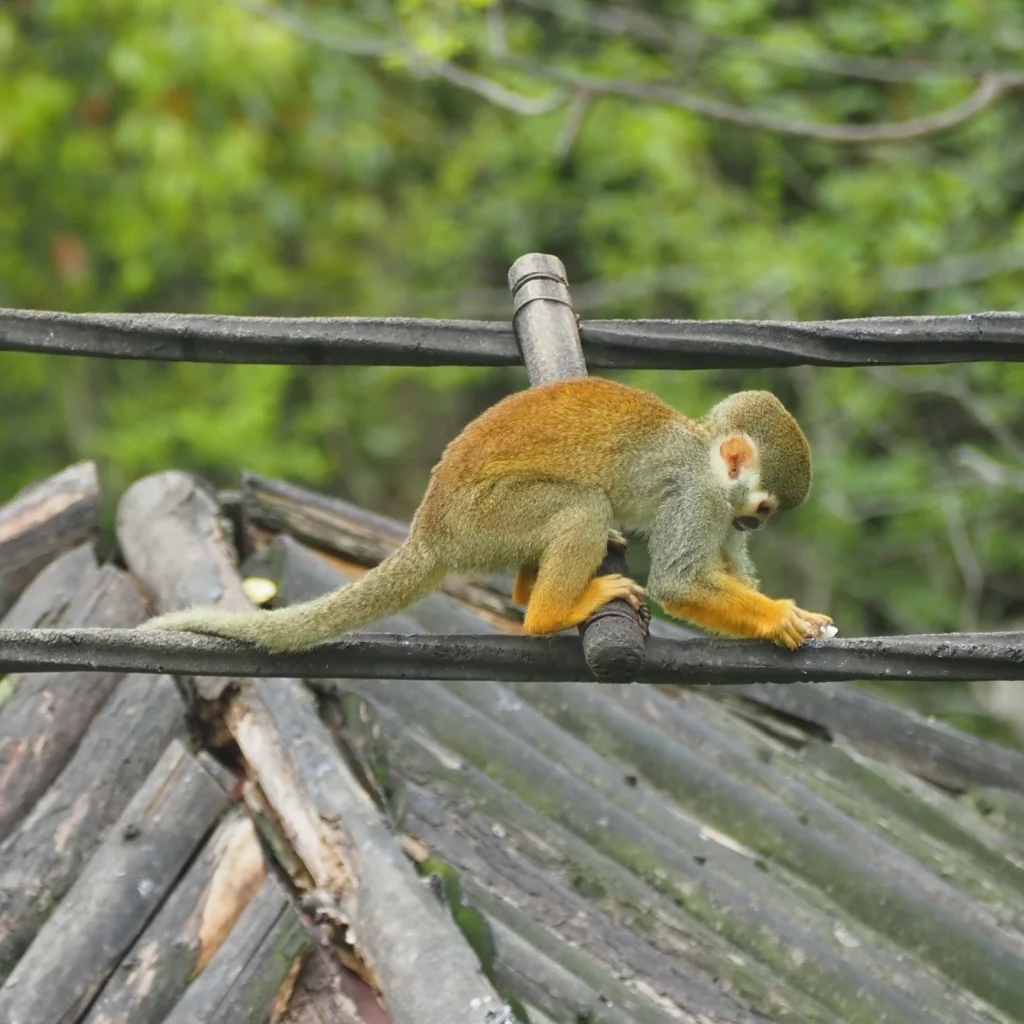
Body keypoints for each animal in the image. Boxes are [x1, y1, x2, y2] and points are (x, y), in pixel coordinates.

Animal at [142, 377, 832, 653]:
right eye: (764, 507)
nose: (753, 524)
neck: (705, 454)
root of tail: (429, 530)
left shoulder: (716, 508)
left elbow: (724, 567)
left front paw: (790, 614)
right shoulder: (696, 494)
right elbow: (681, 581)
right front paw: (779, 619)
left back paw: (532, 592)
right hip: (488, 518)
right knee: (580, 504)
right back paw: (549, 611)